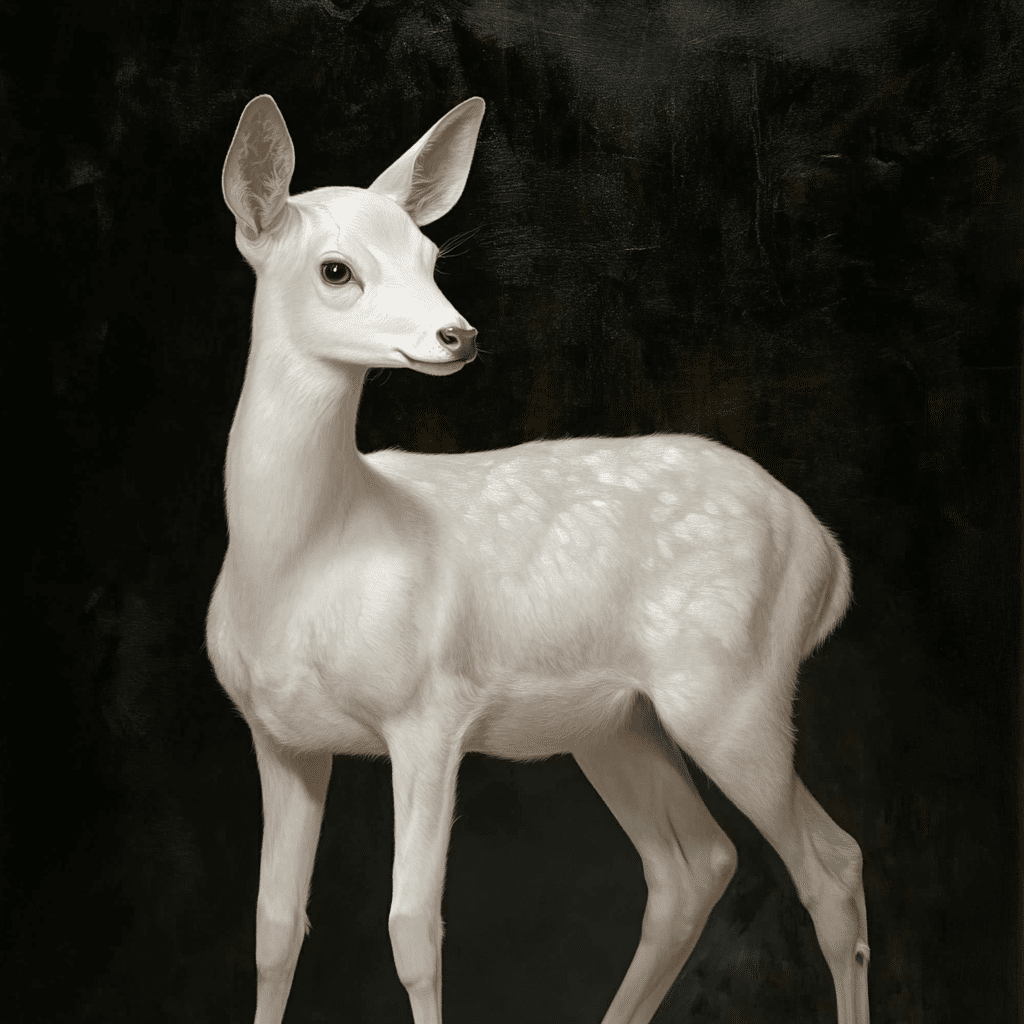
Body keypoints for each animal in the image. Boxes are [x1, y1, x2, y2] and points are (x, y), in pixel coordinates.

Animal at [206, 93, 871, 1024]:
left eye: (430, 256)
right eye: (336, 269)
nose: (457, 335)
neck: (304, 566)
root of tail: (829, 558)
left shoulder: (432, 711)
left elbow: (412, 929)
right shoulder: (279, 736)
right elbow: (273, 927)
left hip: (735, 692)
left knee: (831, 863)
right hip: (620, 722)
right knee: (694, 865)